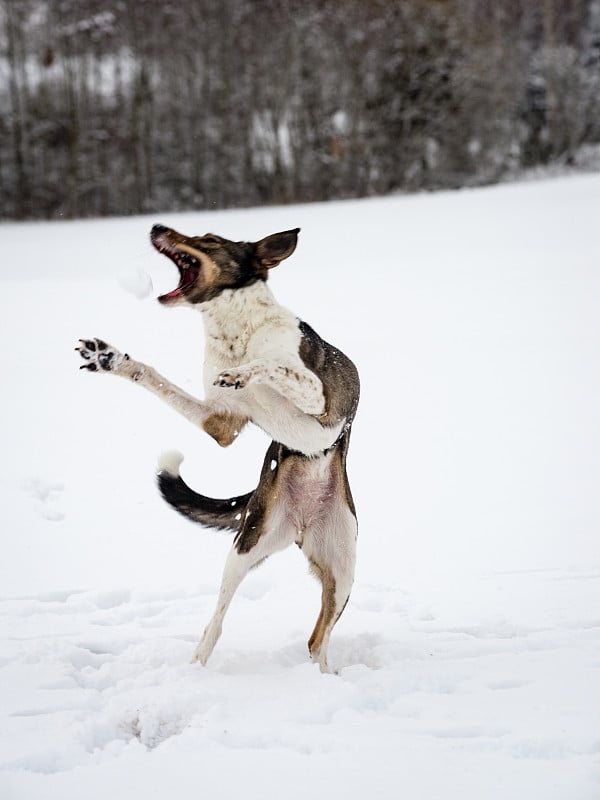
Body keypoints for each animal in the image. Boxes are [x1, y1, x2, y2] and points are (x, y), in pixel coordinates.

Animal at [74, 222, 356, 672]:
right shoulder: (221, 425)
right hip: (247, 547)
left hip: (343, 570)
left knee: (318, 641)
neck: (235, 330)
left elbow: (272, 366)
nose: (156, 226)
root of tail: (301, 524)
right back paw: (198, 666)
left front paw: (241, 373)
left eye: (208, 240)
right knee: (219, 624)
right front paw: (111, 360)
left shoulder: (320, 402)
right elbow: (154, 376)